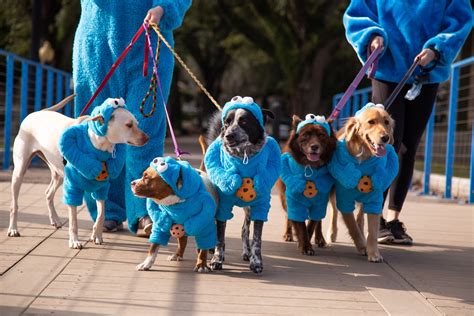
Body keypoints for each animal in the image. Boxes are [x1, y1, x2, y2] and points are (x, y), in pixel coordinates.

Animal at [8, 95, 148, 248]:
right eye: (129, 125)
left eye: (137, 123)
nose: (147, 138)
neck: (97, 145)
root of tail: (39, 112)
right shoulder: (72, 188)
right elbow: (73, 222)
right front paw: (74, 241)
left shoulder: (101, 189)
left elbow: (101, 215)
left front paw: (97, 235)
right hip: (20, 172)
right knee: (14, 205)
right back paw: (13, 229)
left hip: (59, 174)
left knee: (48, 193)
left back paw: (55, 220)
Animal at [204, 95, 282, 272]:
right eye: (227, 122)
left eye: (244, 122)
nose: (228, 135)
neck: (243, 156)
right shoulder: (223, 205)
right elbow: (220, 236)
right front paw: (217, 259)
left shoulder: (260, 205)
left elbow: (257, 239)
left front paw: (256, 261)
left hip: (249, 210)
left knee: (244, 230)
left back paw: (247, 252)